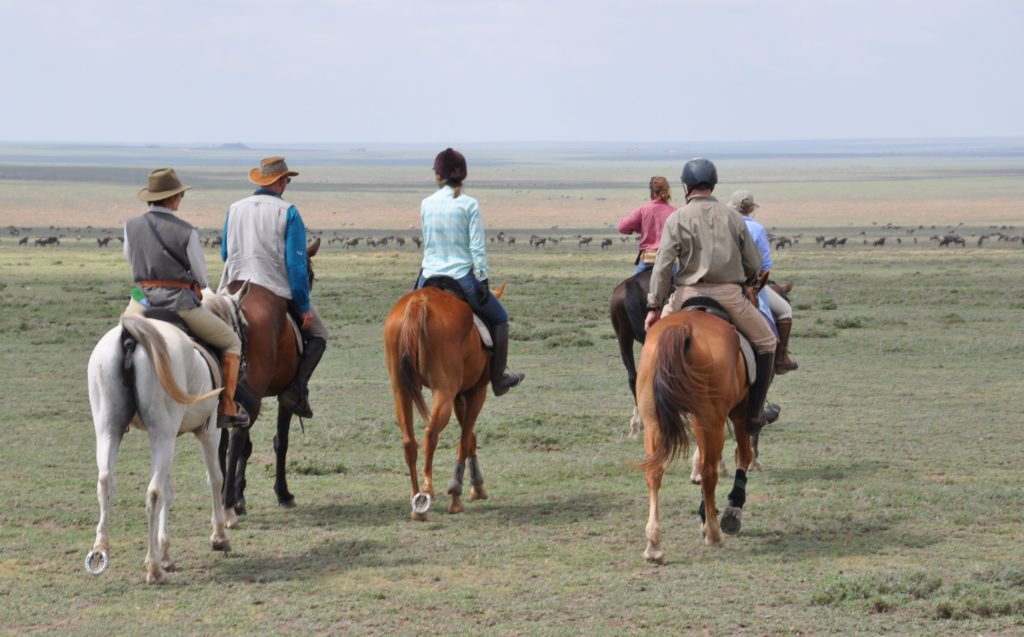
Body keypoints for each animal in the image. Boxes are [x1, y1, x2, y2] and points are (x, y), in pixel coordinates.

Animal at [83, 299, 239, 585]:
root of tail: (130, 336)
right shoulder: (209, 432)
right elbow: (215, 479)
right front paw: (219, 536)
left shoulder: (169, 438)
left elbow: (169, 489)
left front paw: (166, 551)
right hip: (162, 434)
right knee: (153, 492)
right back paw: (153, 568)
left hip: (110, 428)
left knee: (106, 482)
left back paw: (101, 549)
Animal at [220, 237, 319, 528]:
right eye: (309, 274)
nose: (305, 310)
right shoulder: (283, 397)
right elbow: (280, 441)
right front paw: (283, 493)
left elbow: (250, 446)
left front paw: (241, 494)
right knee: (235, 439)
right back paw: (228, 502)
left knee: (228, 440)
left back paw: (226, 497)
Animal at [382, 282, 505, 522]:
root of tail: (419, 302)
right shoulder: (476, 392)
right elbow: (465, 438)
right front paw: (460, 492)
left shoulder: (461, 396)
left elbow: (470, 436)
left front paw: (477, 487)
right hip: (443, 392)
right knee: (430, 434)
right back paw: (430, 492)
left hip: (401, 390)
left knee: (409, 442)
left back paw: (416, 503)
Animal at [638, 309, 761, 565]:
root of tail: (683, 327)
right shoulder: (740, 412)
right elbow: (742, 455)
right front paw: (732, 509)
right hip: (710, 419)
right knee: (709, 472)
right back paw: (713, 533)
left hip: (654, 420)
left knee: (654, 472)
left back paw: (654, 545)